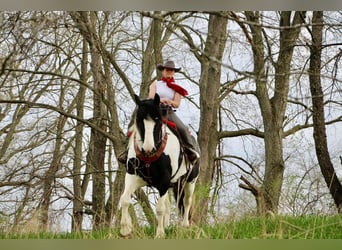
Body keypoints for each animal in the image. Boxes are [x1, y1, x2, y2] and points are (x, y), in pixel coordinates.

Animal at [120, 94, 200, 238]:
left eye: (157, 119)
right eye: (139, 119)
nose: (148, 147)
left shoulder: (163, 182)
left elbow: (160, 209)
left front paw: (159, 234)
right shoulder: (132, 177)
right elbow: (125, 199)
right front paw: (125, 229)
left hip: (190, 182)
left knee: (187, 202)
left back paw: (185, 226)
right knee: (169, 204)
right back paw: (167, 226)